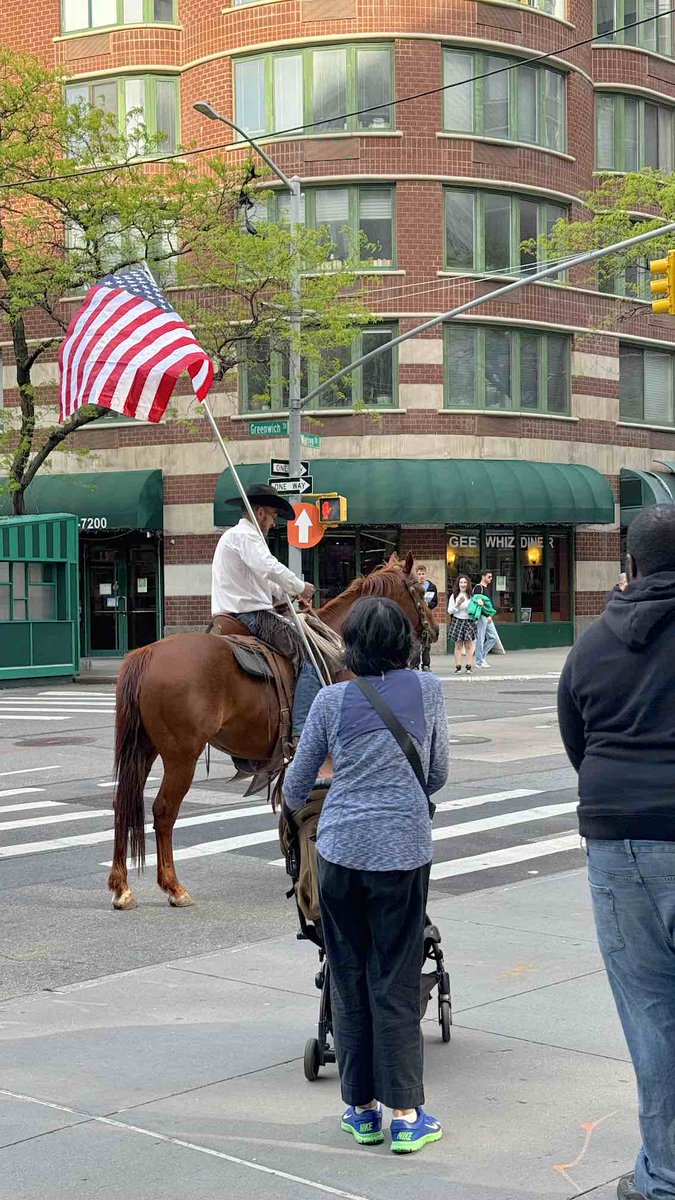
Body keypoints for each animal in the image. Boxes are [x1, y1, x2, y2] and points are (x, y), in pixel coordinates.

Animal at [107, 552, 439, 907]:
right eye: (419, 590)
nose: (434, 631)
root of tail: (147, 653)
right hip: (181, 757)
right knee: (163, 811)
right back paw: (173, 887)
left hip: (144, 749)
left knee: (123, 804)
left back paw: (122, 887)